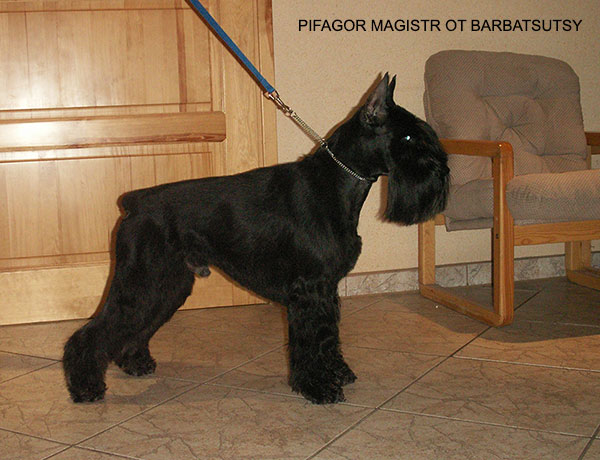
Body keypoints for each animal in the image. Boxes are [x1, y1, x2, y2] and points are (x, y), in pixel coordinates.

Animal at [63, 74, 449, 404]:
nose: (443, 170)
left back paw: (135, 363)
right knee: (93, 333)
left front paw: (337, 373)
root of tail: (135, 201)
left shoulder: (326, 290)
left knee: (136, 327)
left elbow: (329, 339)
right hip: (141, 282)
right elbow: (311, 342)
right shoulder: (309, 291)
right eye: (409, 138)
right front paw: (318, 387)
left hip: (167, 286)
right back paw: (85, 388)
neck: (337, 183)